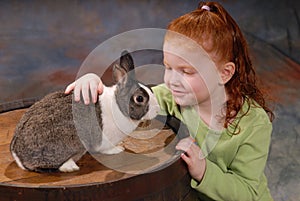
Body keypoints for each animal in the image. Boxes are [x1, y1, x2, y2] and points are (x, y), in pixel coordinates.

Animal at [9, 50, 159, 173]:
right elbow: (107, 149)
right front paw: (118, 149)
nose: (157, 109)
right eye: (139, 98)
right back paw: (70, 166)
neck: (118, 105)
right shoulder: (104, 141)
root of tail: (17, 154)